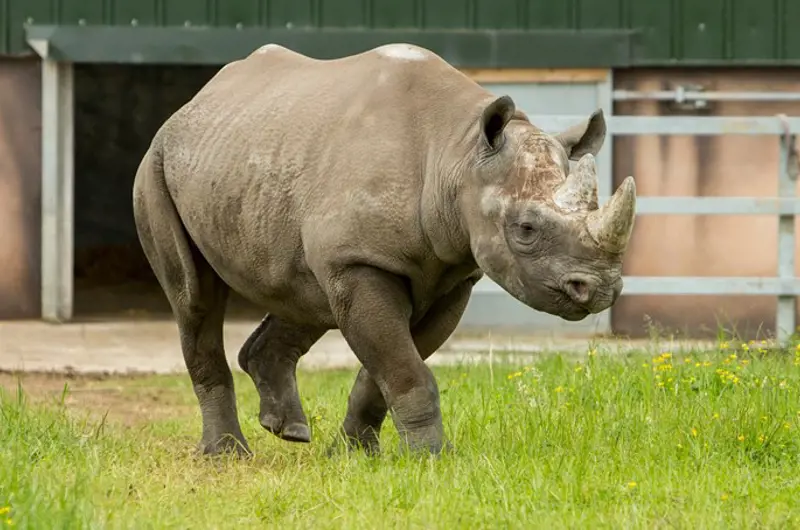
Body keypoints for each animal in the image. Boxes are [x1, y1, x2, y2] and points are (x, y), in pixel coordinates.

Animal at [132, 42, 636, 457]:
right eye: (526, 229)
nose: (602, 289)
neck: (456, 152)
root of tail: (192, 105)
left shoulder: (453, 273)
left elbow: (386, 369)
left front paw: (354, 454)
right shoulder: (361, 260)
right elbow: (406, 369)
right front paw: (433, 460)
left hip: (262, 159)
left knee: (304, 290)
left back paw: (288, 431)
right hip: (156, 167)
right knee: (195, 298)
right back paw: (227, 454)